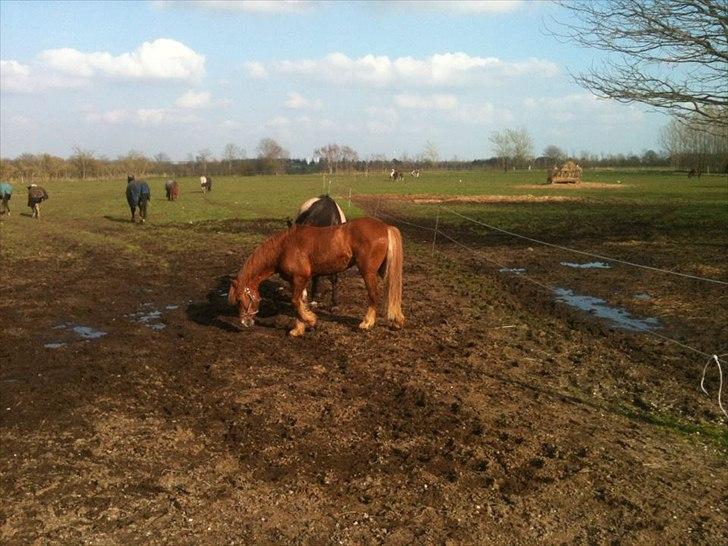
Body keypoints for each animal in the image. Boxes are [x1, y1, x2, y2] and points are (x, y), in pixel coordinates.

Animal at [229, 217, 404, 336]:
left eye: (240, 299)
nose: (245, 322)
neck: (284, 247)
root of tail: (385, 227)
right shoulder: (296, 281)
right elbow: (300, 303)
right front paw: (298, 329)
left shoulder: (300, 278)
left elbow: (295, 302)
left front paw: (310, 320)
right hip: (382, 270)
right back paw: (397, 321)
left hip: (368, 272)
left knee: (374, 295)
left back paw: (367, 323)